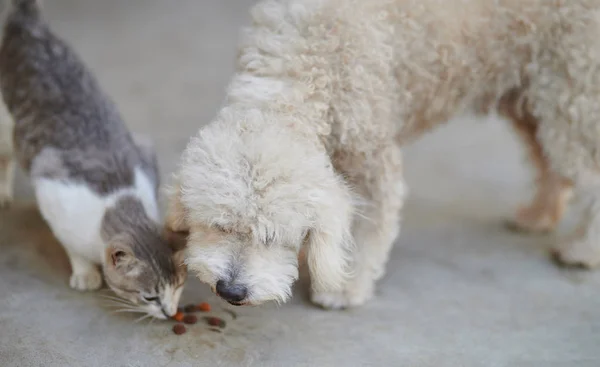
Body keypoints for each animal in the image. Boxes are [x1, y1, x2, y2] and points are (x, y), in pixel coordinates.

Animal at [0, 0, 186, 320]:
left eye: (178, 287)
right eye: (149, 297)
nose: (169, 313)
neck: (119, 200)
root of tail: (28, 25)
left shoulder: (143, 151)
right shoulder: (52, 188)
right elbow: (72, 246)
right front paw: (86, 273)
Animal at [166, 0, 600, 310]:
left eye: (273, 237)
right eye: (218, 225)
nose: (231, 291)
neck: (307, 62)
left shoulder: (372, 161)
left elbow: (366, 230)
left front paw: (342, 287)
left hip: (574, 94)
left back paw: (583, 250)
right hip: (534, 98)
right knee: (551, 164)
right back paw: (540, 214)